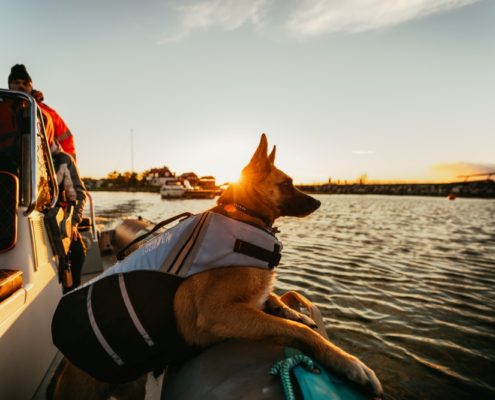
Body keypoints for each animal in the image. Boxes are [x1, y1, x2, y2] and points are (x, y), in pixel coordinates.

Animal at [51, 135, 384, 400]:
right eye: (287, 183)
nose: (319, 202)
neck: (244, 215)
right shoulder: (217, 313)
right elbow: (296, 330)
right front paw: (349, 363)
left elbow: (277, 301)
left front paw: (290, 309)